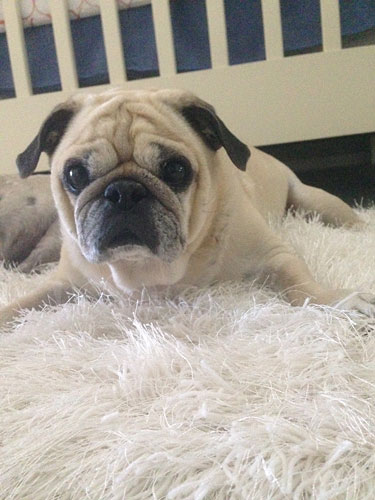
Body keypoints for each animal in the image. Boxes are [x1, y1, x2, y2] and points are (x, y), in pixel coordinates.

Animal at [0, 88, 375, 326]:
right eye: (75, 174)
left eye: (176, 170)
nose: (123, 192)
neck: (146, 271)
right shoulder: (62, 283)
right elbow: (21, 303)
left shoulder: (275, 254)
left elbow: (301, 285)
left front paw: (335, 300)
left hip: (315, 201)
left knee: (346, 219)